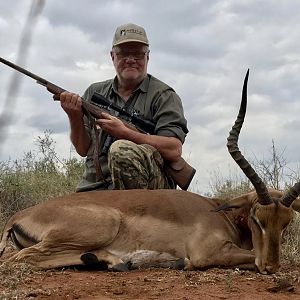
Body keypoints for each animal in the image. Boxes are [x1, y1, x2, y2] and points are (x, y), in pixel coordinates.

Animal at [0, 71, 300, 274]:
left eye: (286, 222)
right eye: (257, 218)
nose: (271, 267)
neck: (223, 215)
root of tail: (19, 216)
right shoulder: (208, 253)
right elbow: (244, 259)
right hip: (102, 225)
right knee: (20, 259)